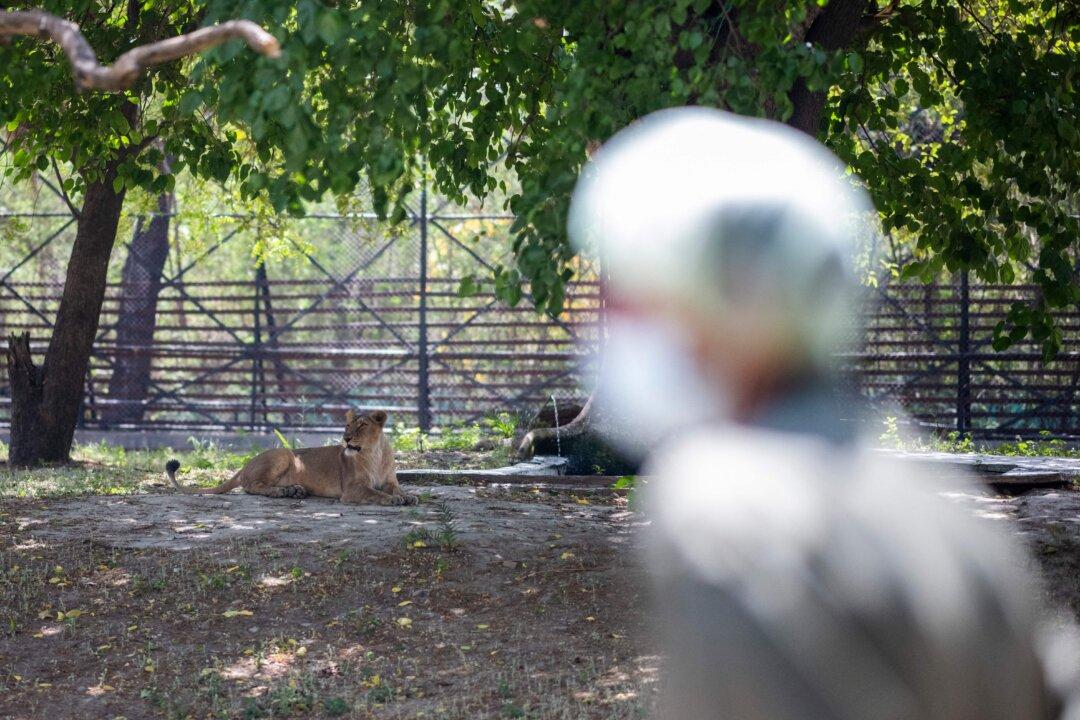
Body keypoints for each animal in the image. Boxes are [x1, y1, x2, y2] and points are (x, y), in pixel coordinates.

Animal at [165, 409, 414, 505]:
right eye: (347, 425)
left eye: (362, 425)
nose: (345, 438)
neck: (373, 453)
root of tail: (245, 466)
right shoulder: (352, 489)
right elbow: (375, 492)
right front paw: (392, 500)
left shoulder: (389, 480)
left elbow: (397, 488)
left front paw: (408, 497)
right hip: (284, 453)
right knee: (253, 486)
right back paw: (282, 492)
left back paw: (293, 490)